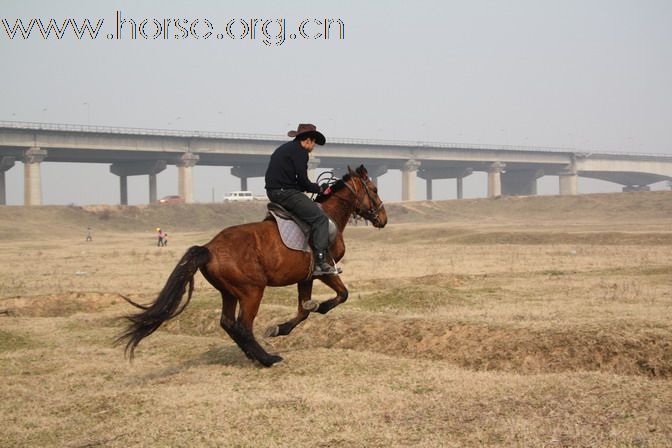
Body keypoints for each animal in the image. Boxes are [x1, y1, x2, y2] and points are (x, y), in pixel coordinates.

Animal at [117, 164, 388, 368]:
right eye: (374, 189)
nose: (383, 219)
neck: (330, 217)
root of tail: (209, 248)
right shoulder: (324, 270)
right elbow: (342, 294)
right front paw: (320, 308)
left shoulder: (305, 276)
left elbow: (303, 310)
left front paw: (280, 328)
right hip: (251, 291)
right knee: (243, 326)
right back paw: (268, 359)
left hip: (229, 292)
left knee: (228, 323)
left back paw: (253, 355)